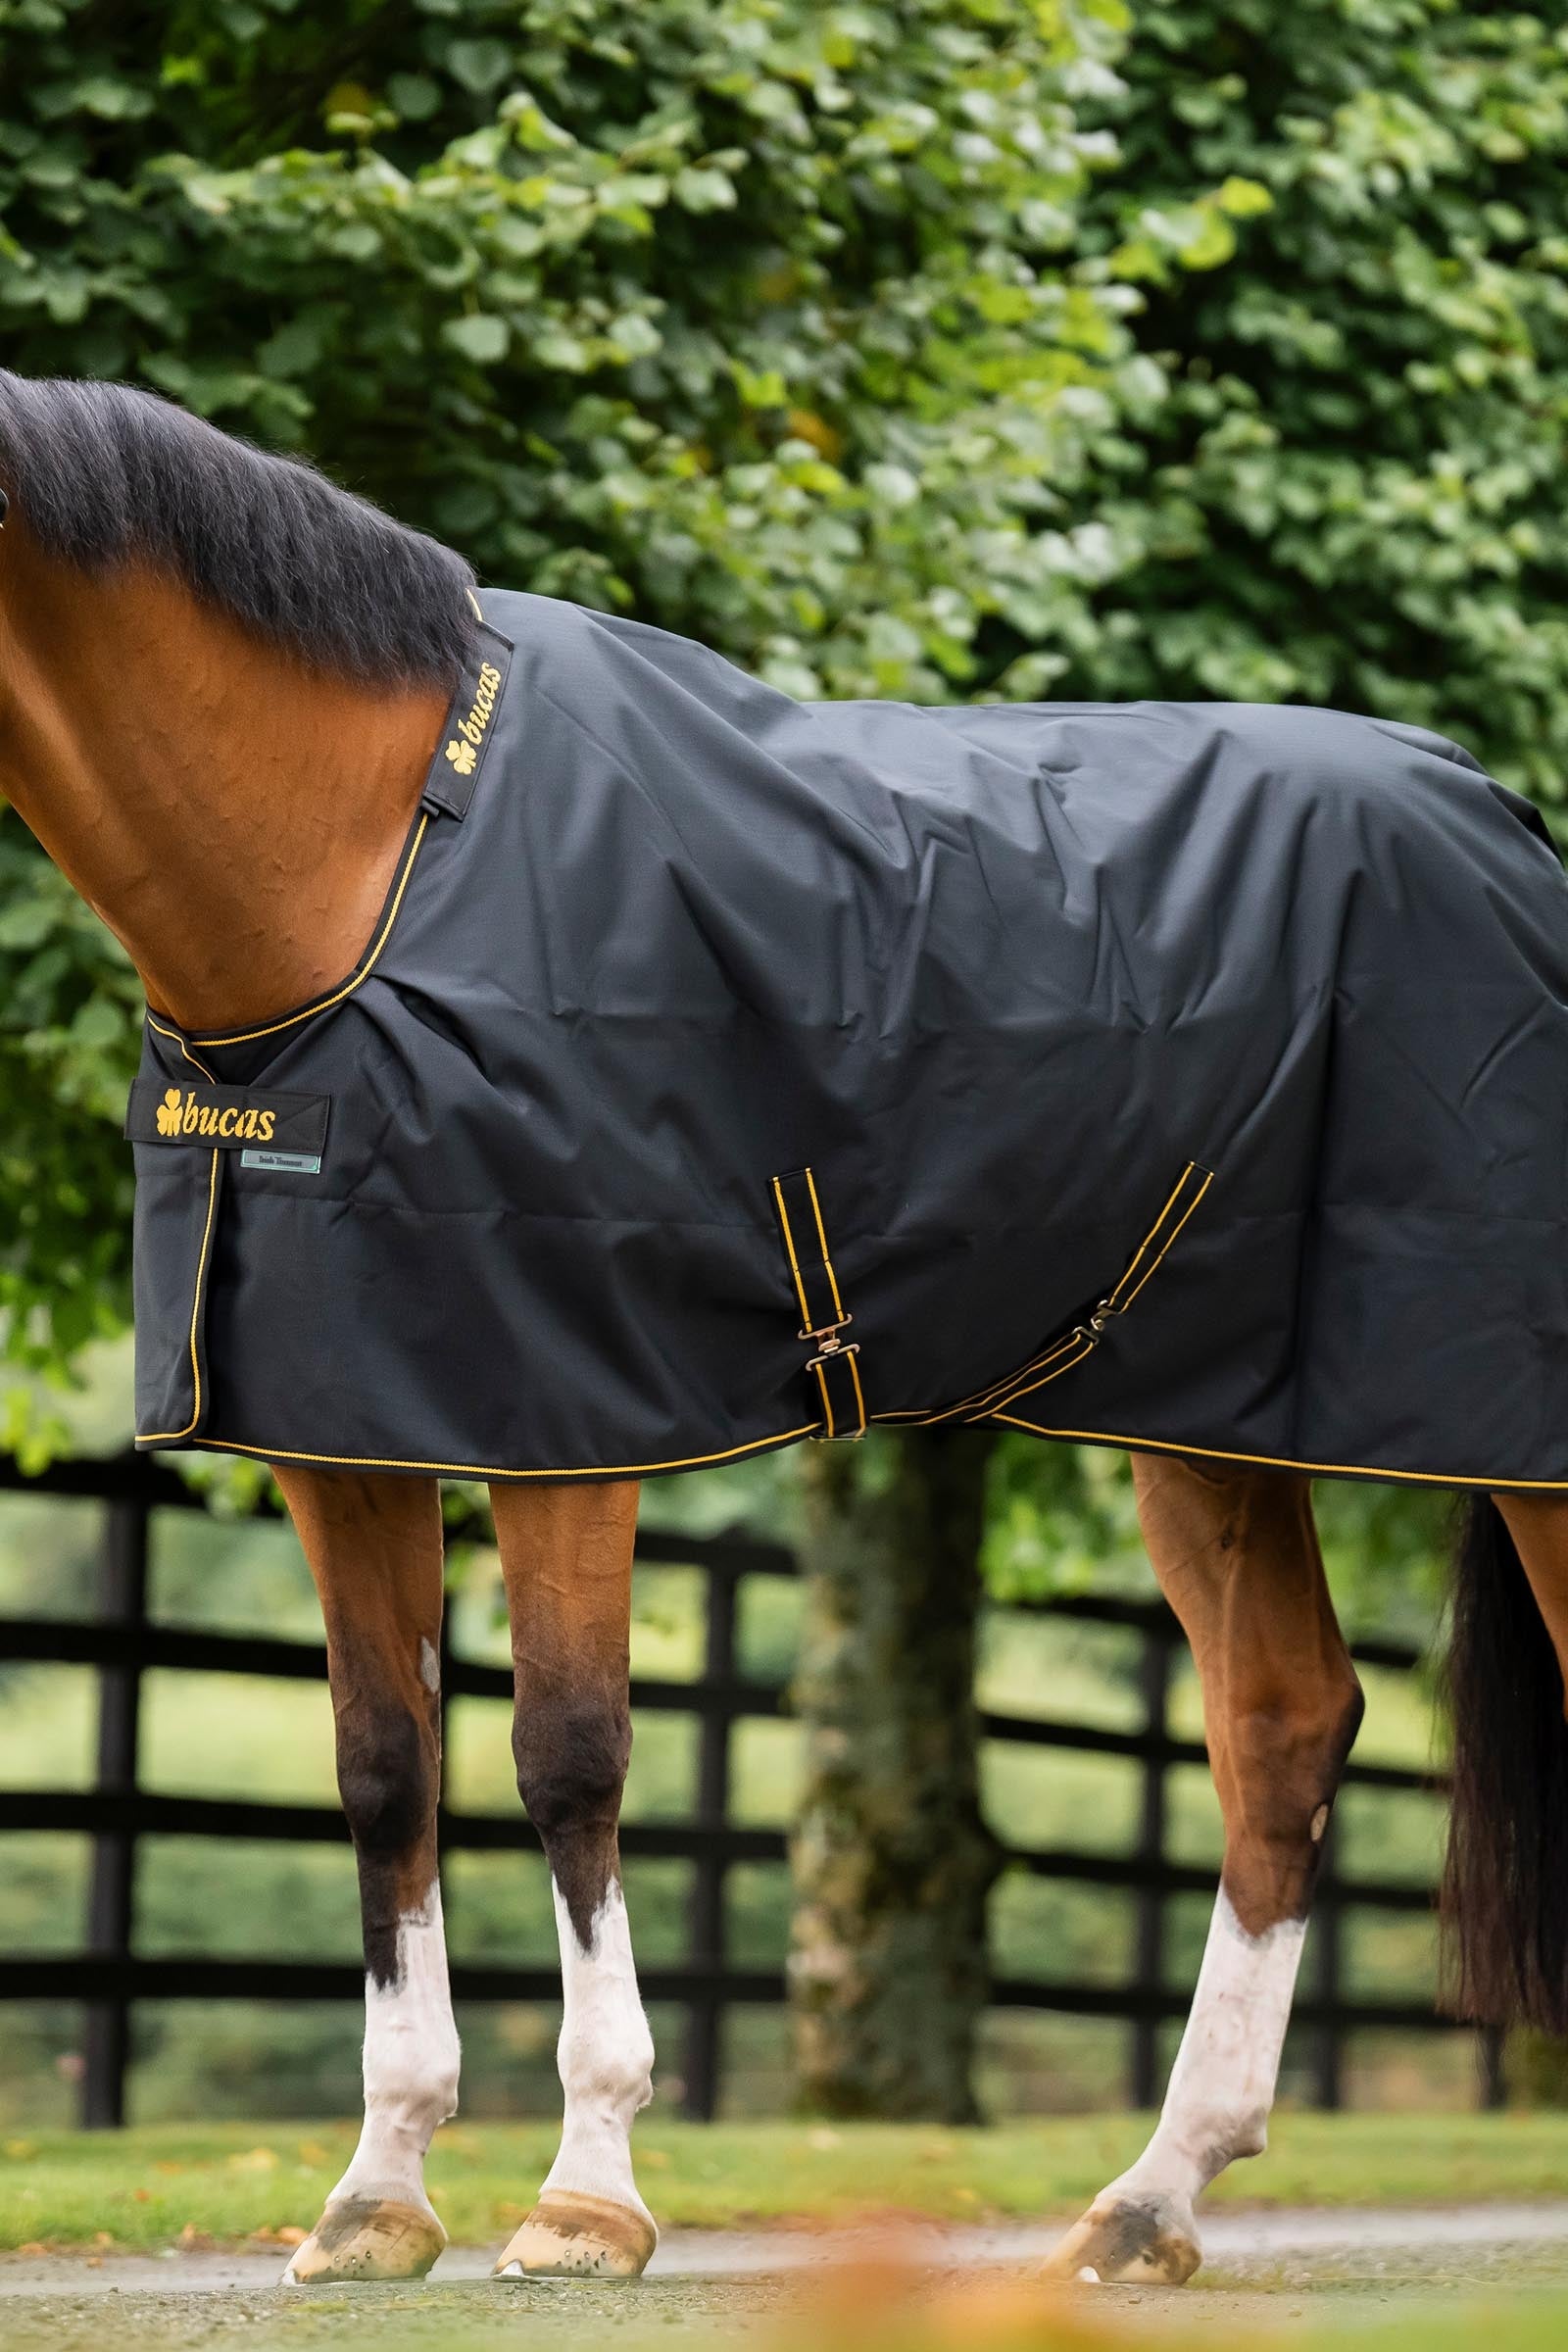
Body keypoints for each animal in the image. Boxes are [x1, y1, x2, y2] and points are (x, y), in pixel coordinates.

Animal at [2, 372, 1567, 2293]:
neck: (381, 863)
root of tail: (1505, 827)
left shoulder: (572, 1419)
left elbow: (568, 1759)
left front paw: (587, 2194)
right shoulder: (342, 1432)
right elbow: (387, 1774)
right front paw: (375, 2196)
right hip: (1205, 1423)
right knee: (1280, 1721)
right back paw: (1149, 2201)